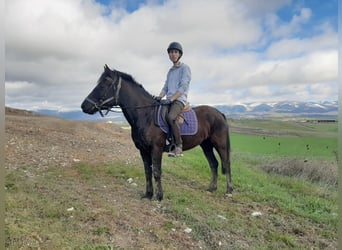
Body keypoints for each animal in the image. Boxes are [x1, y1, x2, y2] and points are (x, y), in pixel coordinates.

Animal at [81, 65, 234, 201]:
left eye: (103, 85)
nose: (84, 106)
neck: (146, 115)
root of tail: (219, 113)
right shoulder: (143, 150)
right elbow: (147, 172)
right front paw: (148, 194)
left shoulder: (156, 149)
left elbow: (156, 172)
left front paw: (159, 196)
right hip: (206, 145)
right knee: (214, 164)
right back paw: (212, 188)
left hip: (220, 144)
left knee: (226, 163)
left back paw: (229, 191)